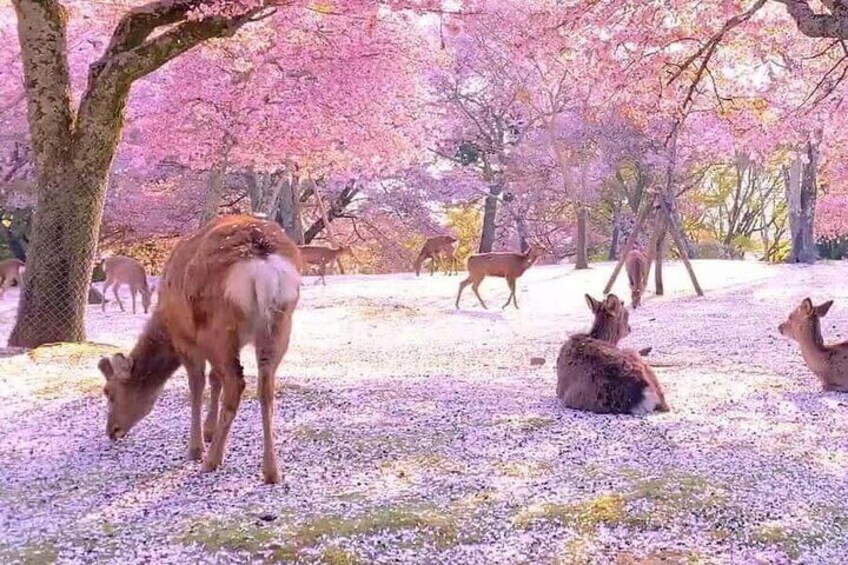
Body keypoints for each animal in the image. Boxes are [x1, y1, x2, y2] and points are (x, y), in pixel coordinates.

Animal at [98, 214, 302, 484]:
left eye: (109, 392)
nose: (111, 431)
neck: (164, 325)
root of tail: (261, 260)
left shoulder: (186, 340)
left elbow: (196, 387)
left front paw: (195, 447)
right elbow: (215, 380)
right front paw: (209, 430)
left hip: (217, 326)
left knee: (236, 383)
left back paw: (211, 460)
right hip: (279, 324)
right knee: (265, 386)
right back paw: (271, 471)